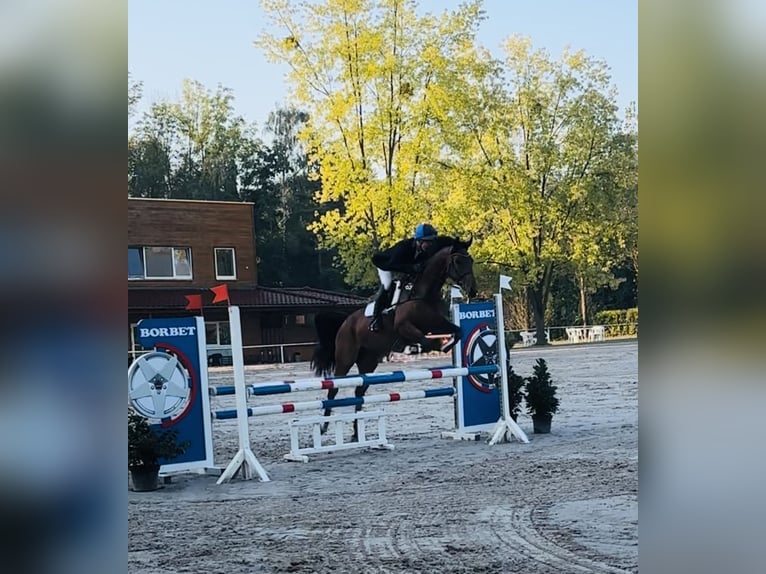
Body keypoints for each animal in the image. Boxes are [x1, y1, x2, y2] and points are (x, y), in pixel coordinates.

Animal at [311, 238, 478, 439]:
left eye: (471, 261)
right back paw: (324, 426)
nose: (473, 290)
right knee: (334, 388)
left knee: (359, 391)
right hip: (345, 358)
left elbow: (457, 331)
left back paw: (356, 434)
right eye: (458, 261)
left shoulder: (435, 324)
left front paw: (446, 346)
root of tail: (345, 321)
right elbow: (426, 342)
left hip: (369, 361)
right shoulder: (404, 327)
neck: (422, 293)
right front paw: (420, 348)